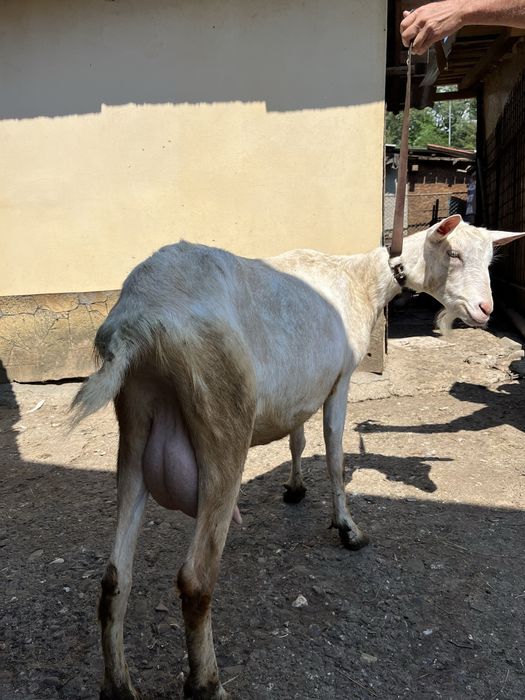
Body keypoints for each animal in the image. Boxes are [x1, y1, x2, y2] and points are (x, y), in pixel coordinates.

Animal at [72, 214, 524, 699]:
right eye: (453, 252)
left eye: (489, 258)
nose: (485, 310)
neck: (360, 279)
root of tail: (138, 324)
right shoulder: (340, 379)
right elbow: (334, 454)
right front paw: (348, 529)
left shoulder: (302, 389)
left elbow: (298, 441)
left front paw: (294, 488)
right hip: (223, 425)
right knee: (195, 578)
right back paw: (207, 683)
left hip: (134, 430)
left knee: (115, 577)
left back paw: (119, 685)